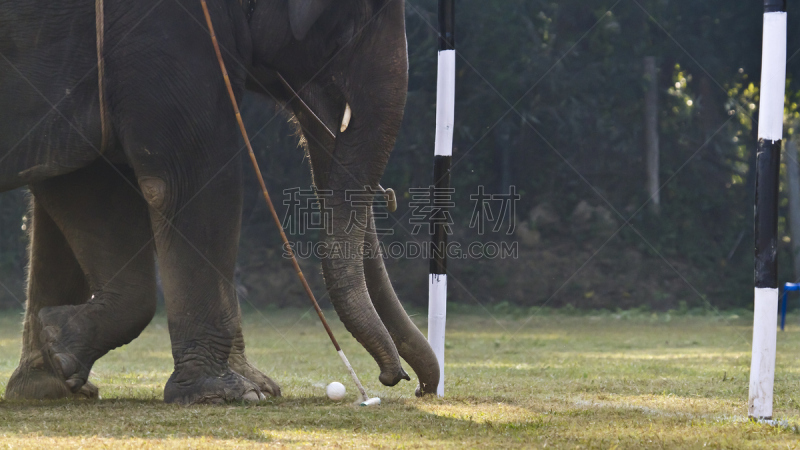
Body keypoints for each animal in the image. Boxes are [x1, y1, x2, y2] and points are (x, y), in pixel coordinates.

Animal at [0, 0, 438, 404]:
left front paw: (51, 374)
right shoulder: (167, 33)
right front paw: (228, 393)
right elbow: (189, 178)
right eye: (350, 24)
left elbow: (67, 179)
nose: (406, 382)